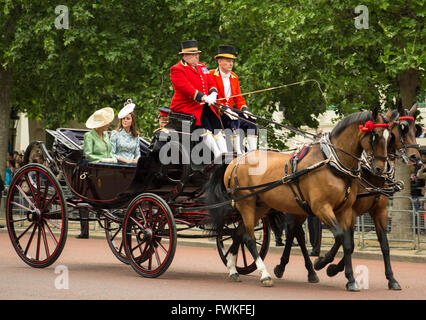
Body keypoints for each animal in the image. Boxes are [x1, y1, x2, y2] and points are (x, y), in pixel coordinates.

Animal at [206, 108, 390, 290]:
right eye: (375, 135)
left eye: (390, 137)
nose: (381, 169)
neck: (333, 163)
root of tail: (235, 161)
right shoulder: (321, 208)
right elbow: (339, 236)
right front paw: (322, 263)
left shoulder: (345, 210)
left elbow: (348, 243)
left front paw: (350, 279)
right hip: (246, 204)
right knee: (248, 237)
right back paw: (265, 275)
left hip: (260, 206)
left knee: (238, 233)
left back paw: (233, 269)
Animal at [312, 103, 422, 290]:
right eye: (403, 128)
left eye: (416, 129)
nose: (417, 158)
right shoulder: (350, 211)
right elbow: (346, 240)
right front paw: (326, 264)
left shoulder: (378, 211)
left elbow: (383, 245)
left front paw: (391, 279)